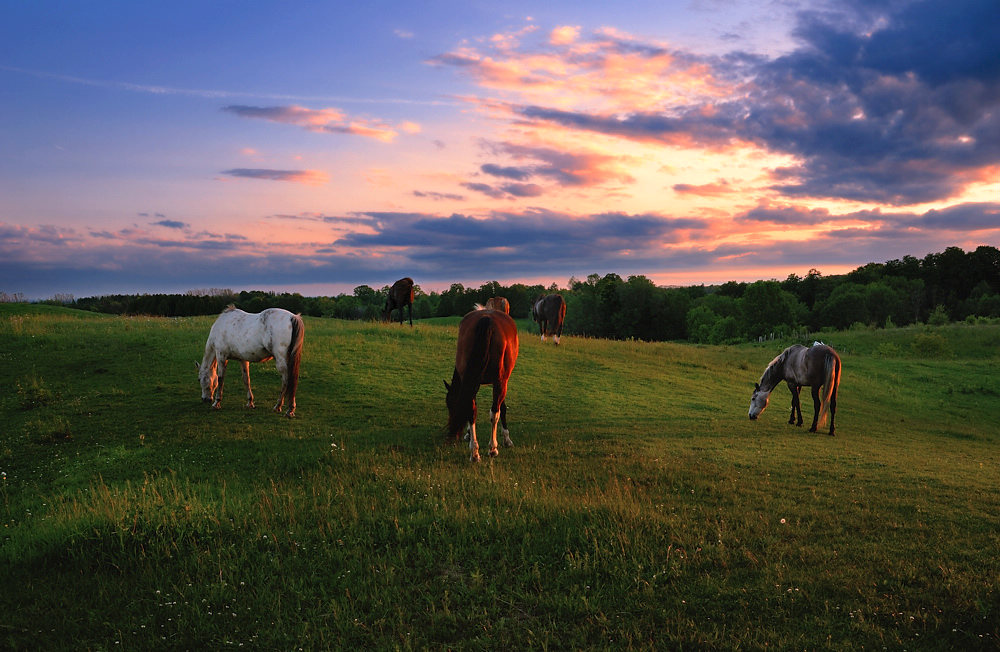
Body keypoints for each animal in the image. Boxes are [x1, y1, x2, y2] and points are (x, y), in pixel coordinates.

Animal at [448, 308, 524, 460]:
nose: (456, 435)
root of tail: (487, 318)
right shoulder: (501, 381)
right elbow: (502, 409)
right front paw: (506, 439)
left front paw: (469, 435)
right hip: (500, 382)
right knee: (494, 413)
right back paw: (492, 448)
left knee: (471, 410)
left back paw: (474, 452)